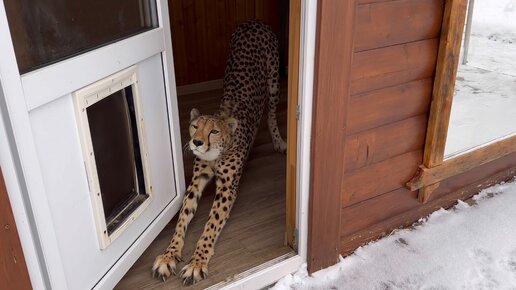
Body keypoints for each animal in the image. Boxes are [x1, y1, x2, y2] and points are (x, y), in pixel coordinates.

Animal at [151, 21, 288, 284]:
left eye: (213, 131)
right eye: (195, 126)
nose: (196, 142)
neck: (216, 153)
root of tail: (253, 22)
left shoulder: (226, 188)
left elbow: (211, 224)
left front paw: (197, 261)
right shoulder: (195, 183)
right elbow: (182, 217)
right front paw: (169, 254)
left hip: (274, 82)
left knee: (271, 112)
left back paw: (278, 140)